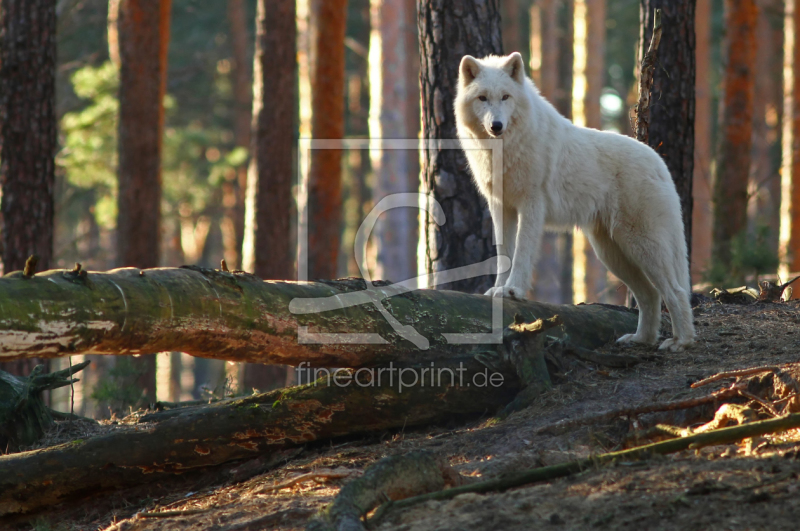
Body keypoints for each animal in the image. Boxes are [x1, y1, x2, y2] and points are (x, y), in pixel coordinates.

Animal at [456, 53, 692, 354]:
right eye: (483, 98)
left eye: (506, 97)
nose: (496, 126)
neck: (505, 149)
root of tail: (659, 162)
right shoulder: (501, 207)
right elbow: (503, 255)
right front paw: (498, 290)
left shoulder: (531, 204)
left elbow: (521, 253)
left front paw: (513, 290)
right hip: (612, 253)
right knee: (650, 294)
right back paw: (641, 339)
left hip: (642, 246)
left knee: (675, 291)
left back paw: (681, 341)